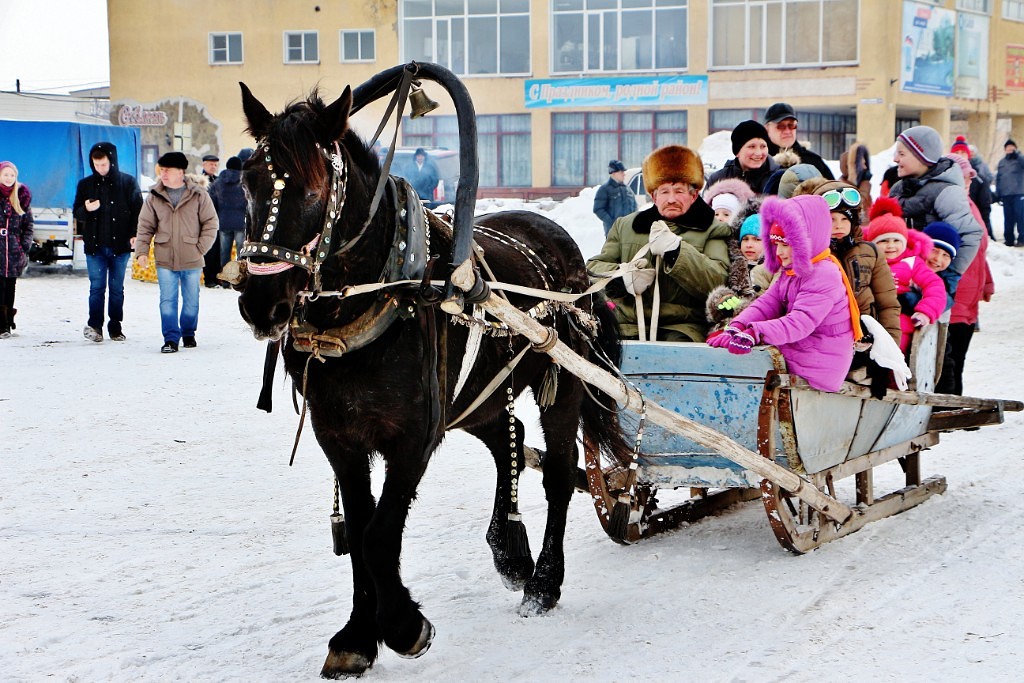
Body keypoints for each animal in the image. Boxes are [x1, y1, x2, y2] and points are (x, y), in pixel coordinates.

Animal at [235, 81, 626, 679]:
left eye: (315, 189)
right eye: (247, 181)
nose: (261, 303)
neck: (375, 299)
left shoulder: (412, 437)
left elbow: (378, 535)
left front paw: (402, 626)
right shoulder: (338, 438)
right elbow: (359, 531)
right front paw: (358, 636)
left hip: (560, 381)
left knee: (559, 473)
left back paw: (542, 582)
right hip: (476, 397)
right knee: (508, 443)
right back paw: (509, 551)